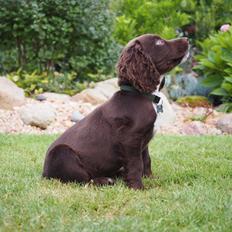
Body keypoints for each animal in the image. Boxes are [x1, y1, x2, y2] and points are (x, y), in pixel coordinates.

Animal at [43, 35, 188, 190]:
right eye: (159, 42)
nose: (186, 39)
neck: (140, 94)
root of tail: (44, 174)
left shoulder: (143, 142)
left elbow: (146, 160)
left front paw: (150, 178)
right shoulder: (130, 140)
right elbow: (136, 164)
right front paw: (138, 187)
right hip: (62, 153)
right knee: (84, 180)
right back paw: (105, 180)